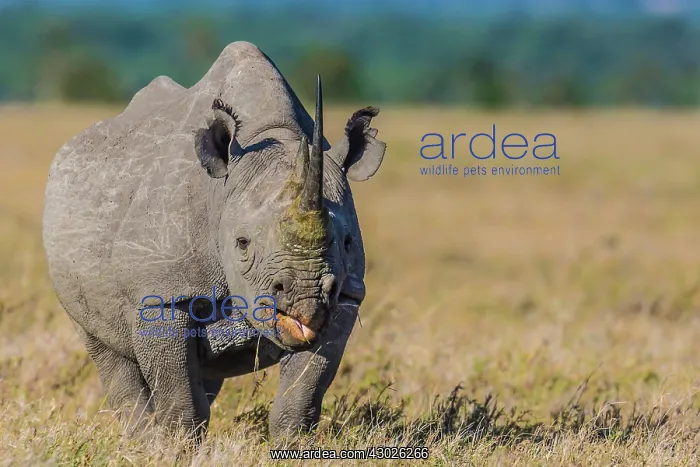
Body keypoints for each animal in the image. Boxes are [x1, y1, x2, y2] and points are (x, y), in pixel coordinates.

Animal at [42, 41, 386, 440]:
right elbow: (178, 395)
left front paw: (292, 444)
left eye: (346, 242)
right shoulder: (160, 294)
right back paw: (141, 440)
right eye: (242, 243)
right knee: (105, 349)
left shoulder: (347, 294)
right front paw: (176, 447)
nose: (304, 298)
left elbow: (304, 390)